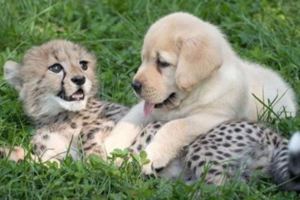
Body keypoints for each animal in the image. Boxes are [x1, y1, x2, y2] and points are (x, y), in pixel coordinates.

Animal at [104, 12, 296, 173]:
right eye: (143, 59)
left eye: (162, 63)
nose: (134, 85)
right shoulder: (148, 108)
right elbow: (128, 120)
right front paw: (111, 147)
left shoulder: (213, 117)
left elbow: (175, 126)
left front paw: (152, 156)